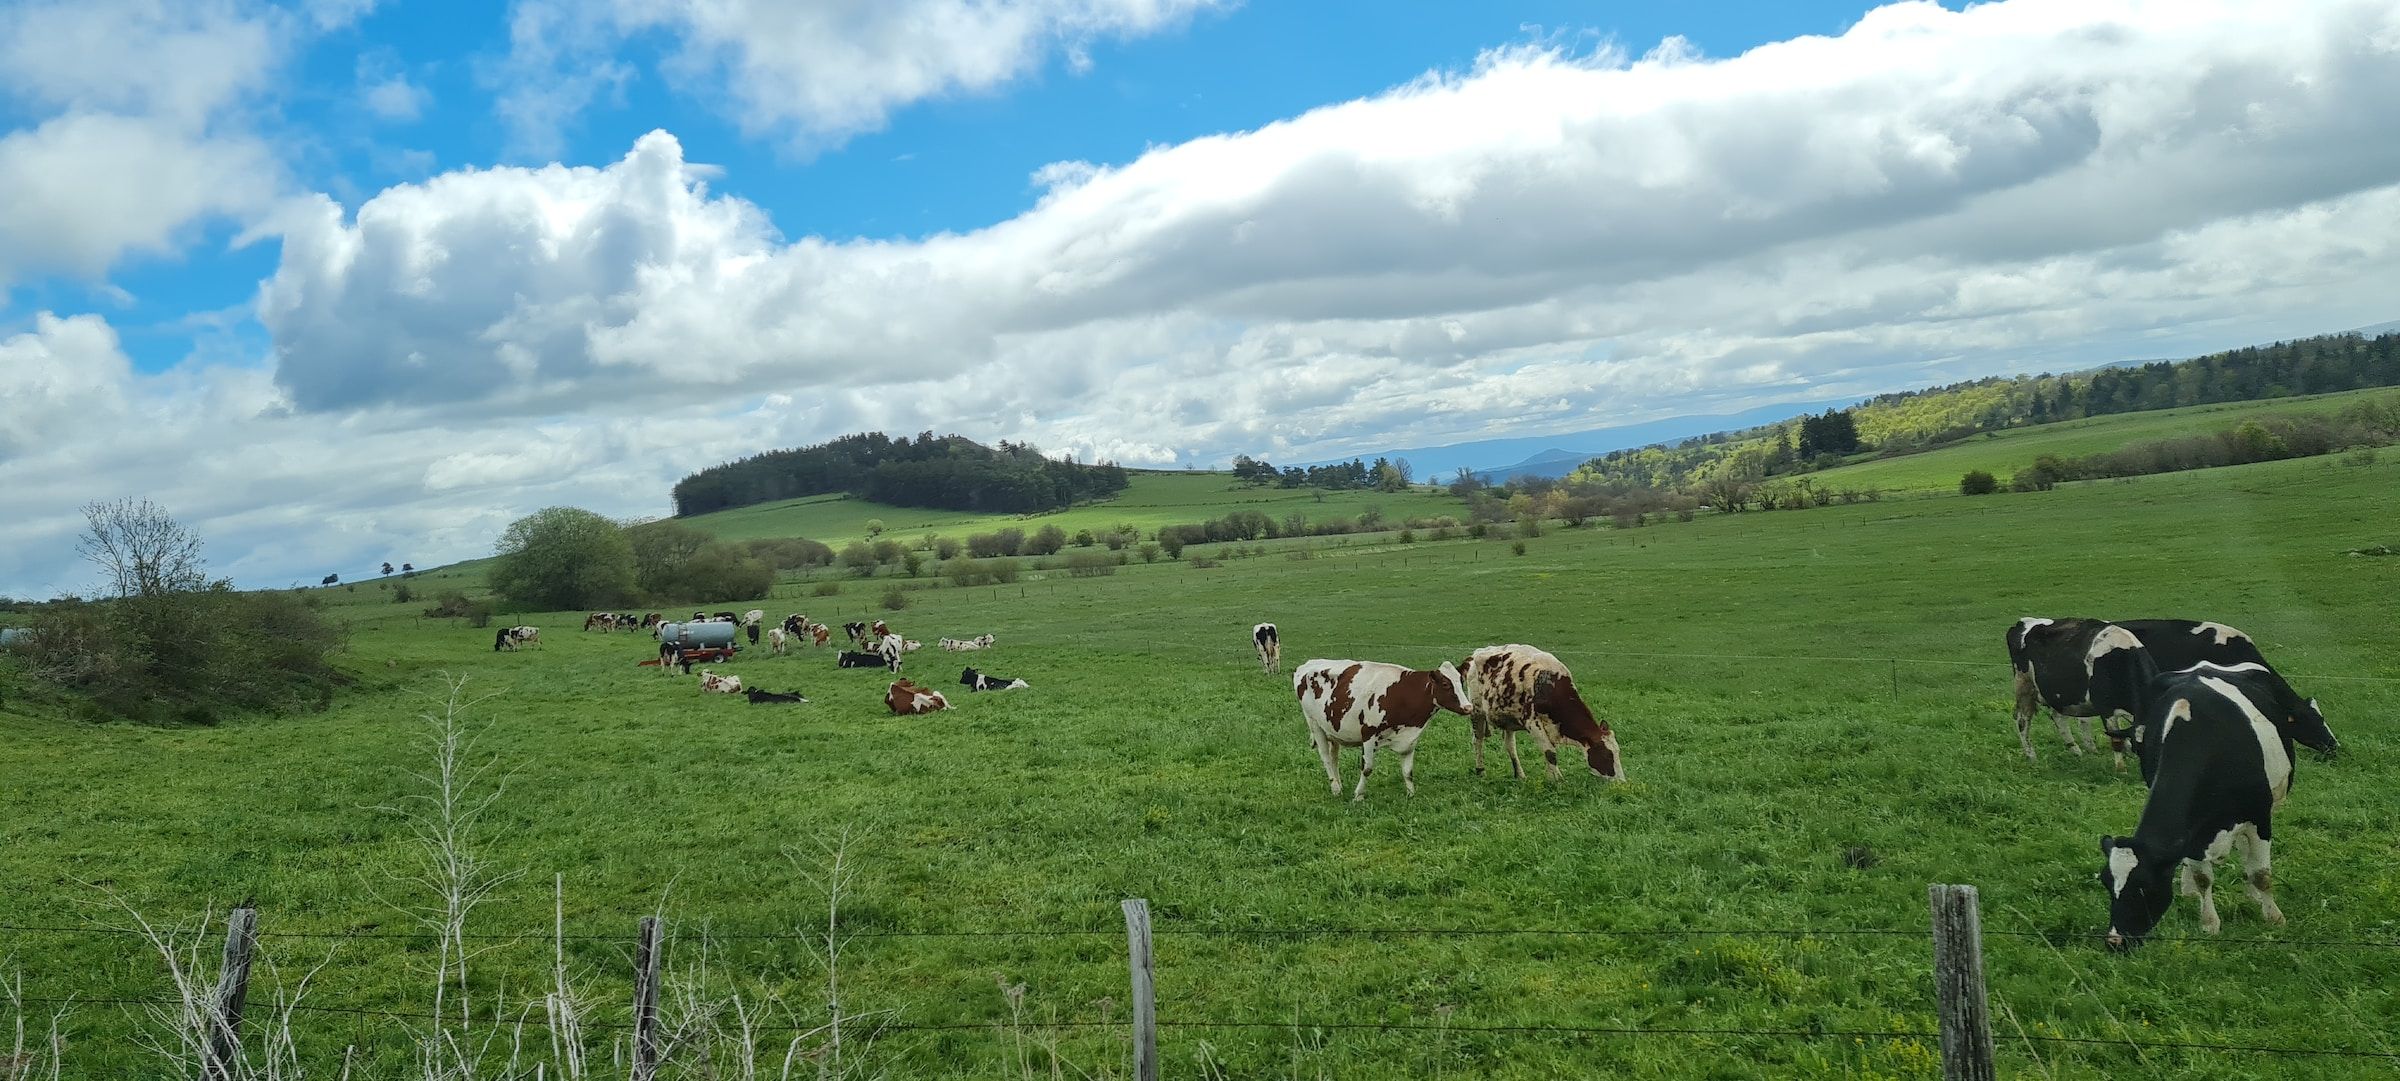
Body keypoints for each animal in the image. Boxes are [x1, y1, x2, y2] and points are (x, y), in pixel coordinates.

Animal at [1286, 653, 1468, 797]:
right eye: (1445, 684)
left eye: (1461, 682)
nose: (1468, 707)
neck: (1402, 693)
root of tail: (1306, 664)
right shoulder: (1369, 734)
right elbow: (1367, 768)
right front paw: (1358, 795)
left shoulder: (1409, 739)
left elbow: (1408, 771)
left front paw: (1411, 794)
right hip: (1314, 724)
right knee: (1325, 757)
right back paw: (1336, 789)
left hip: (1332, 727)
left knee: (1333, 757)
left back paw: (1338, 785)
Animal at [1449, 643, 1622, 783]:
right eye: (1607, 755)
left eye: (1617, 752)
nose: (1621, 781)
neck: (1550, 685)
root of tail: (1475, 654)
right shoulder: (1532, 722)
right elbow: (1550, 753)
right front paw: (1558, 781)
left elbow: (1548, 752)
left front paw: (1552, 777)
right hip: (1477, 711)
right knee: (1478, 740)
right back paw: (1480, 771)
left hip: (1508, 719)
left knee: (1510, 746)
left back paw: (1520, 774)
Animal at [2092, 663, 2313, 951]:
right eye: (2107, 883)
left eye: (2144, 886)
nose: (2115, 941)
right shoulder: (2193, 832)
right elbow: (2202, 878)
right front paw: (2209, 923)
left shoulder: (2259, 817)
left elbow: (2261, 874)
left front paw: (2274, 917)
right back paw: (2188, 890)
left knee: (2248, 856)